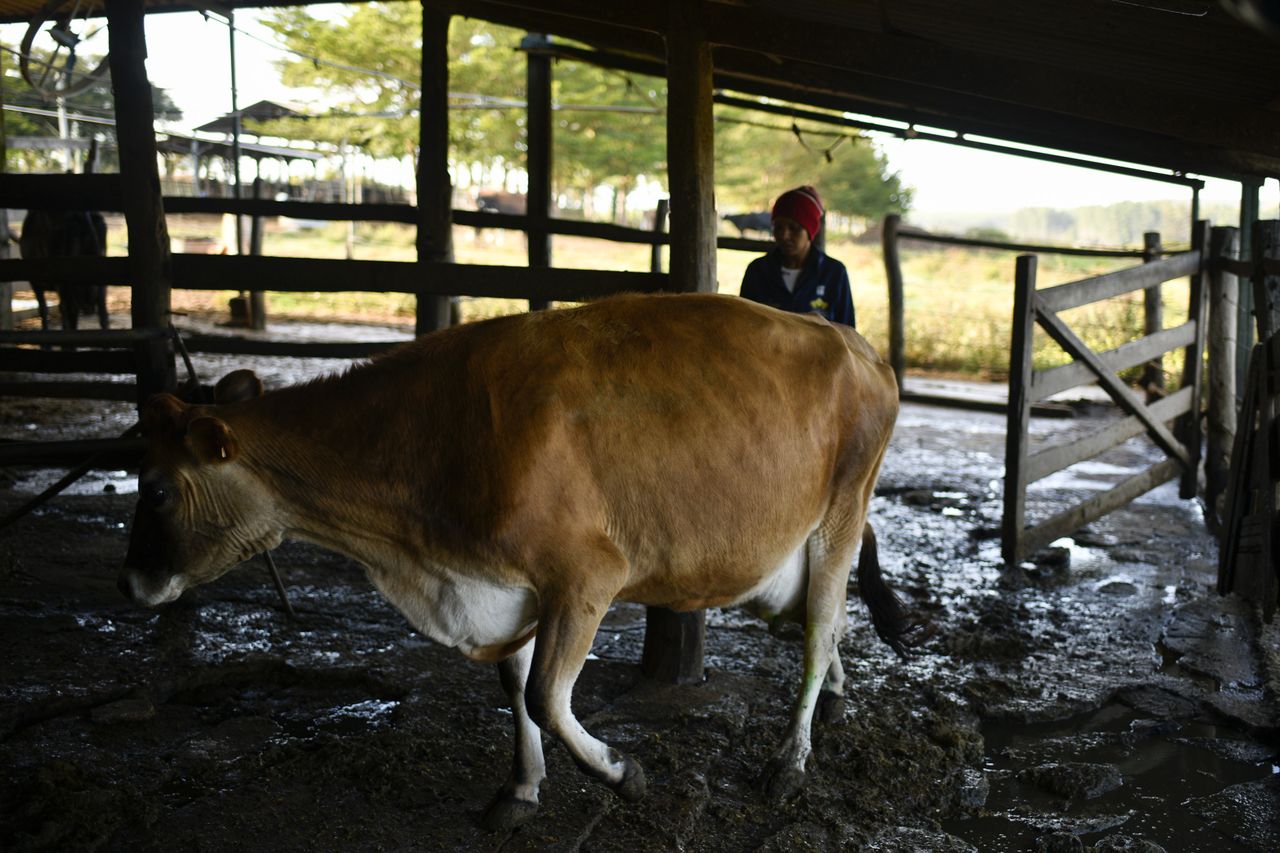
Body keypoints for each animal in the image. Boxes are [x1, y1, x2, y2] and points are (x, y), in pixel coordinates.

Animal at [115, 290, 906, 824]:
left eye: (155, 488)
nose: (132, 583)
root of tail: (856, 343)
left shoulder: (586, 573)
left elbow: (546, 696)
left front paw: (623, 772)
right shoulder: (505, 583)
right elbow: (514, 687)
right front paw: (521, 788)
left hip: (841, 511)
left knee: (819, 629)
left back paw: (789, 762)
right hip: (777, 555)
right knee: (820, 623)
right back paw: (833, 701)